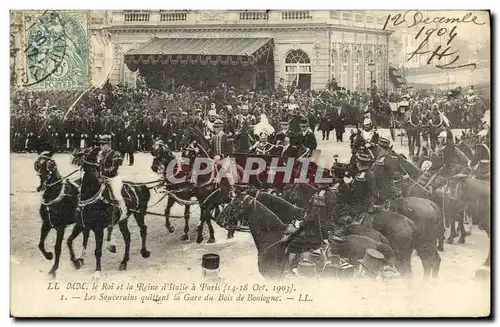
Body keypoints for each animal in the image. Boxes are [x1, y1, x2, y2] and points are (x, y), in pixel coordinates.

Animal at [66, 147, 152, 278]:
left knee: (143, 229)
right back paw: (124, 262)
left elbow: (97, 251)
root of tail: (139, 186)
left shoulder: (98, 229)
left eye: (86, 153)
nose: (74, 156)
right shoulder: (80, 225)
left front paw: (97, 272)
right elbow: (69, 241)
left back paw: (144, 252)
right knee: (127, 237)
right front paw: (75, 262)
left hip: (139, 214)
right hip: (123, 220)